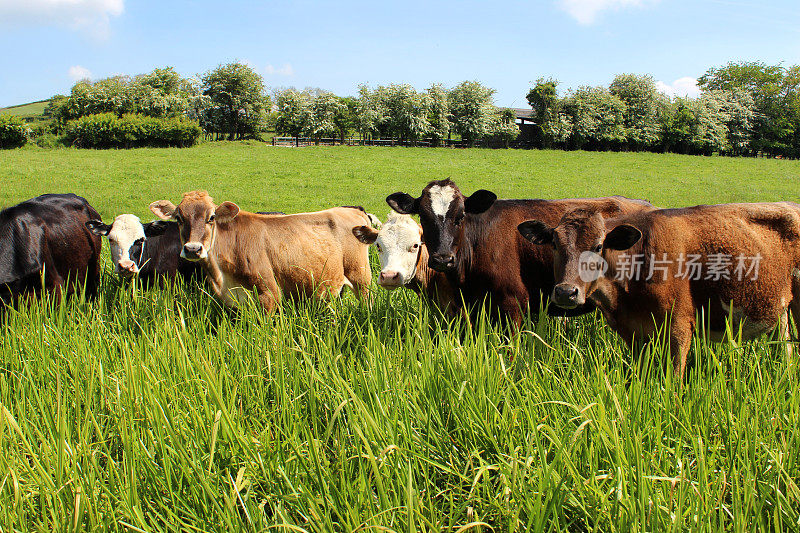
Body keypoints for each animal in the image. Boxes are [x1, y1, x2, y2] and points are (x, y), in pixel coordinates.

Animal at [150, 190, 376, 310]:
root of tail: (353, 210)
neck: (222, 276)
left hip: (361, 278)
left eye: (211, 217)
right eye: (179, 218)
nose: (193, 249)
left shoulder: (269, 293)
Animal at [516, 202, 800, 376]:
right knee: (785, 346)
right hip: (781, 307)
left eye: (598, 246)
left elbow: (673, 378)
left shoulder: (679, 326)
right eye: (554, 244)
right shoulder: (631, 331)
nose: (566, 292)